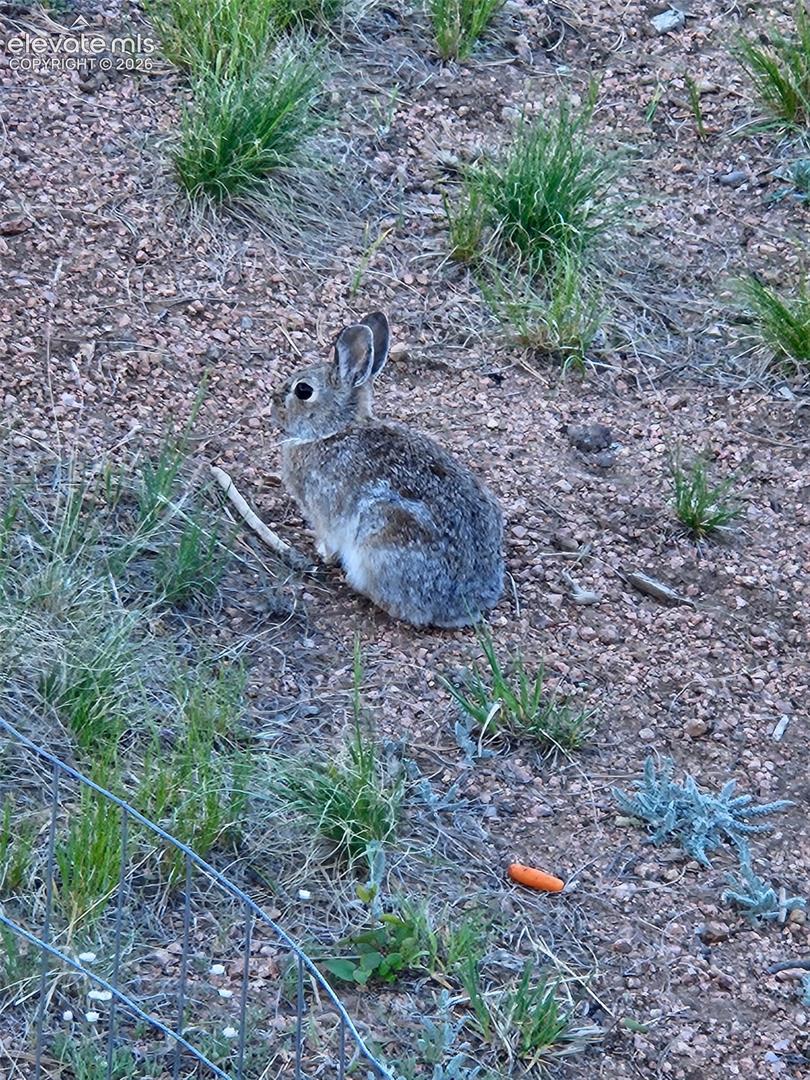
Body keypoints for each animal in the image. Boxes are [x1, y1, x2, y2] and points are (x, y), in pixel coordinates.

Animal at [273, 312, 504, 628]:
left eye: (303, 390)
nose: (273, 403)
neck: (334, 430)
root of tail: (463, 603)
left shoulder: (324, 514)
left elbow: (329, 541)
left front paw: (322, 553)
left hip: (383, 534)